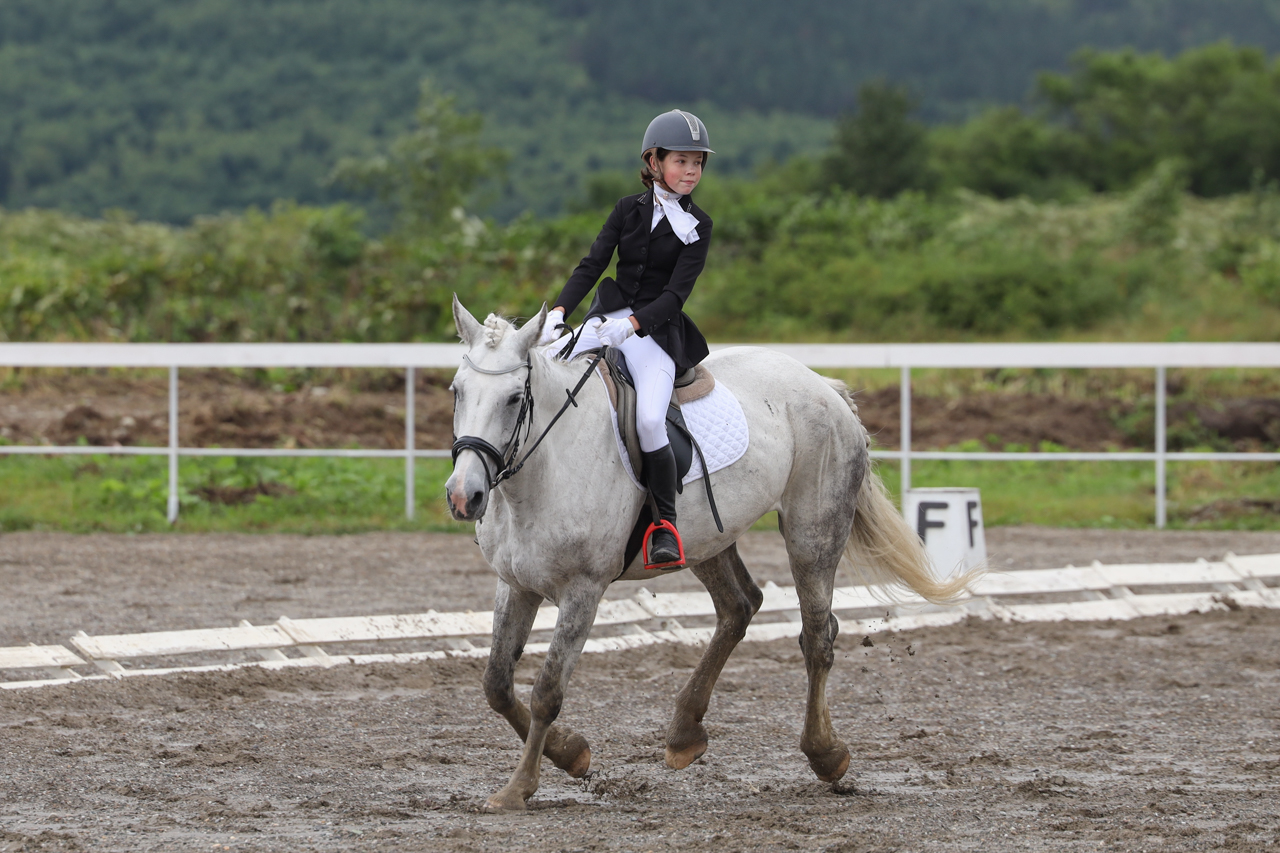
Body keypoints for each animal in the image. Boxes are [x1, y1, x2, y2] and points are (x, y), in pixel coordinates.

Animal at [445, 298, 972, 809]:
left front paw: (519, 788)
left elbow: (547, 693)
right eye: (457, 391)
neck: (542, 471)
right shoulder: (516, 584)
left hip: (813, 532)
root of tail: (822, 384)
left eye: (514, 399)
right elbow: (497, 685)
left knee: (817, 637)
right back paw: (685, 733)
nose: (464, 496)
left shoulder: (583, 592)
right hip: (707, 541)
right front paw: (571, 754)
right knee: (740, 607)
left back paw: (826, 754)